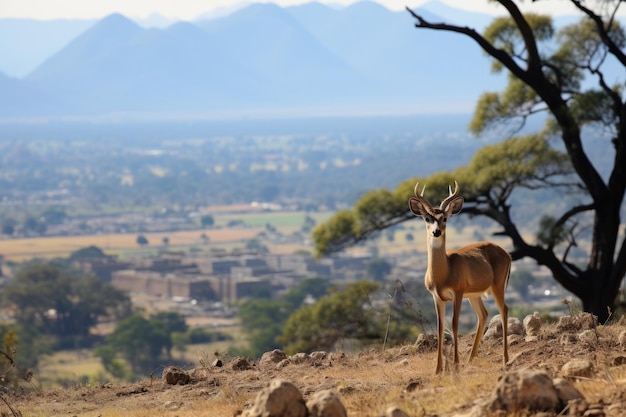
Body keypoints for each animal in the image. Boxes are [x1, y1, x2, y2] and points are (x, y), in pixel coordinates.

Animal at [408, 180, 510, 372]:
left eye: (445, 218)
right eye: (427, 218)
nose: (436, 232)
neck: (443, 272)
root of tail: (507, 253)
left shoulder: (458, 293)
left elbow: (455, 324)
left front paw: (455, 364)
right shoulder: (437, 297)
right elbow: (440, 328)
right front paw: (438, 369)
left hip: (497, 287)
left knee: (504, 310)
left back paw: (505, 359)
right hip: (475, 295)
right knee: (483, 314)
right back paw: (470, 359)